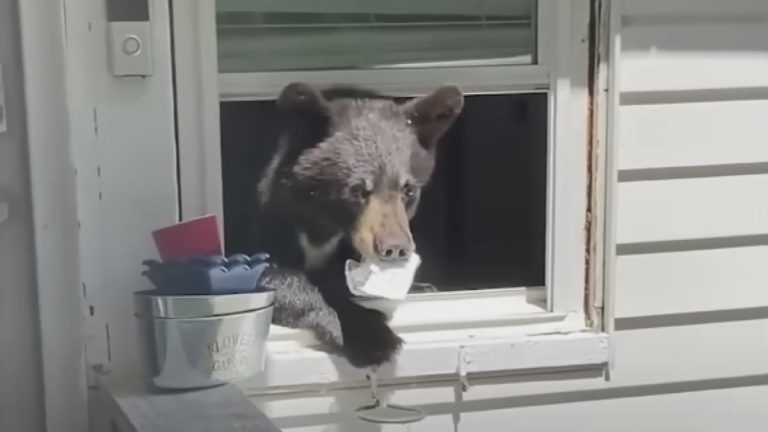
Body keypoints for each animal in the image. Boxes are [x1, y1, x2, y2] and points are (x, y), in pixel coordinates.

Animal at [258, 82, 464, 367]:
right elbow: (274, 276)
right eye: (358, 190)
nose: (395, 247)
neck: (323, 223)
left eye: (408, 190)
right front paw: (373, 338)